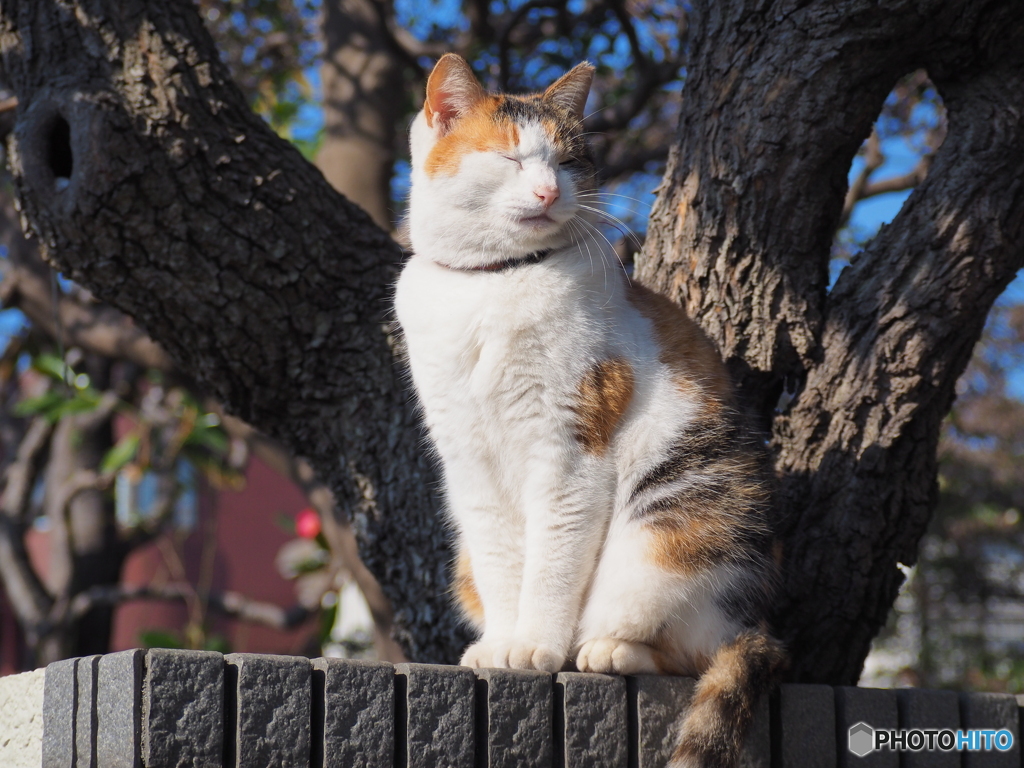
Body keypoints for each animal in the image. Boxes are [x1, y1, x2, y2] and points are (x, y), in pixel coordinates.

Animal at [391, 54, 782, 768]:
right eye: (512, 158)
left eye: (570, 162)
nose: (550, 193)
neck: (494, 281)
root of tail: (760, 621)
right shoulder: (467, 456)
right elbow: (503, 559)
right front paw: (502, 645)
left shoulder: (570, 444)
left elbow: (553, 558)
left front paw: (535, 647)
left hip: (672, 525)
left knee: (691, 649)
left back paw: (604, 651)